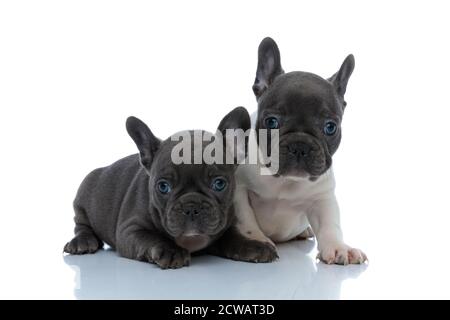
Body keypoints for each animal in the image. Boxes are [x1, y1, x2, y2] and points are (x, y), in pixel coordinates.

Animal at [234, 38, 368, 264]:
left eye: (330, 127)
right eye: (271, 122)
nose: (300, 145)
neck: (284, 181)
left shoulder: (322, 196)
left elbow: (330, 223)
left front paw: (339, 248)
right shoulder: (239, 190)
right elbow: (246, 220)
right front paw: (257, 241)